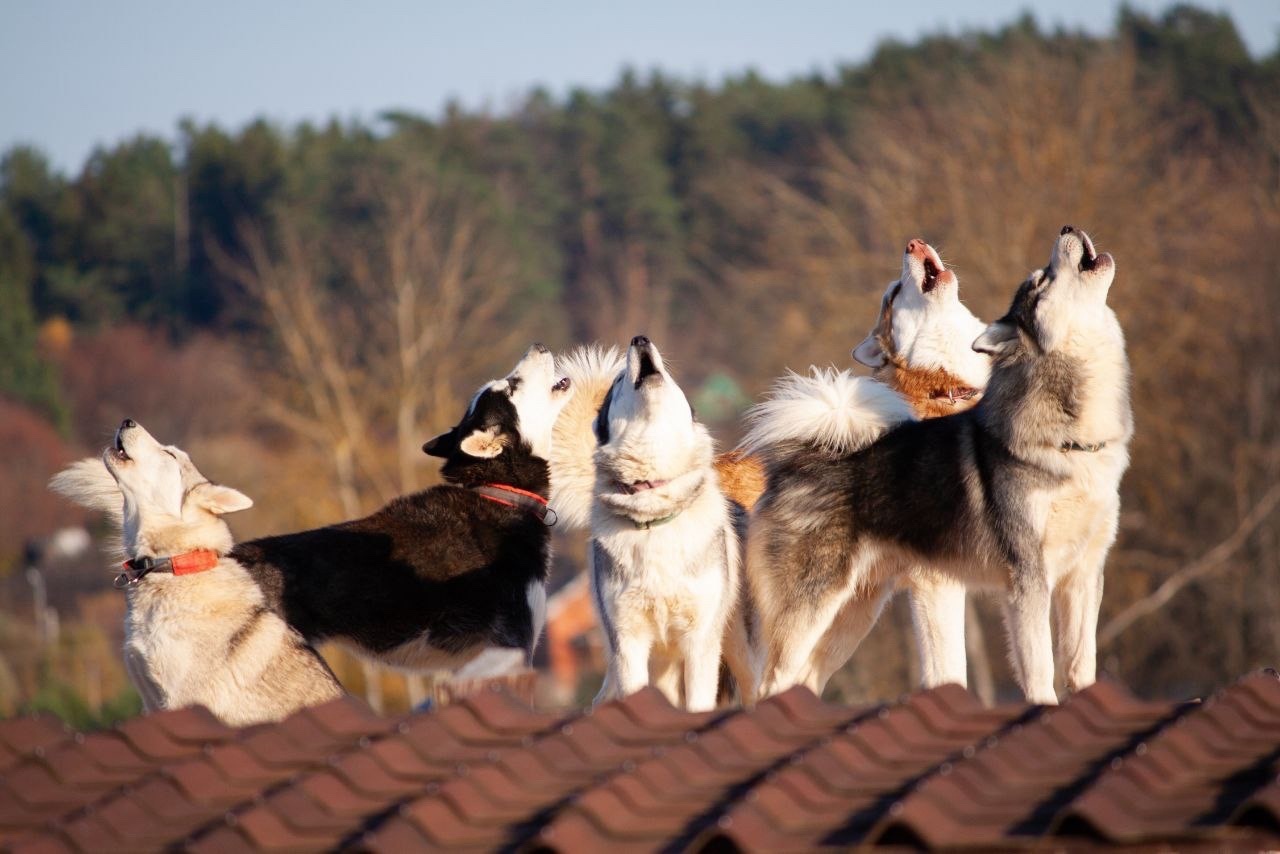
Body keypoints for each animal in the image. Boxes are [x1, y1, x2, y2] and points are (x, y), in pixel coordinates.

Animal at [747, 226, 1131, 701]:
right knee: (772, 682)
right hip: (811, 605)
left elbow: (1081, 666)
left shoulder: (1084, 574)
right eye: (1042, 280)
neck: (1071, 442)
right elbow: (1039, 671)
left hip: (852, 614)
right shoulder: (1025, 578)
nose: (1066, 229)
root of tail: (798, 460)